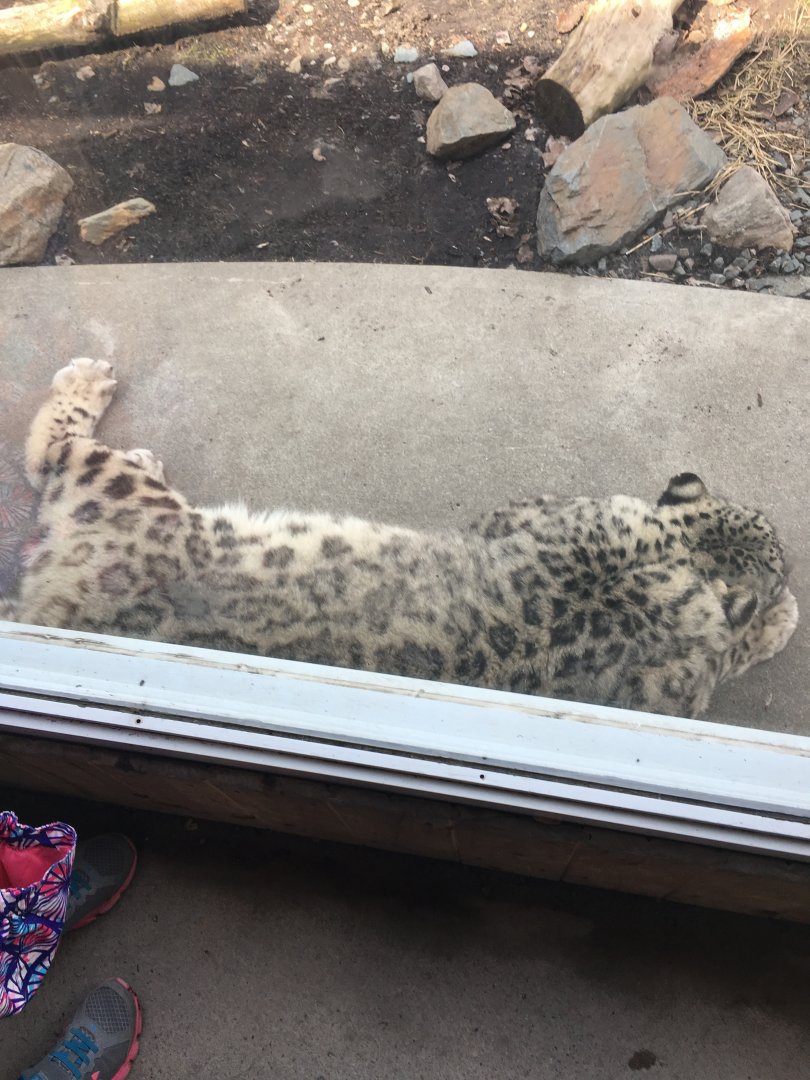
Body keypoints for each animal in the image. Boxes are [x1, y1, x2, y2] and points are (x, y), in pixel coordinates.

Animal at [0, 358, 798, 719]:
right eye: (779, 550)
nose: (791, 569)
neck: (665, 553)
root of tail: (51, 601)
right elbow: (736, 648)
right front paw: (783, 619)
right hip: (118, 494)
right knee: (52, 451)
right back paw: (90, 381)